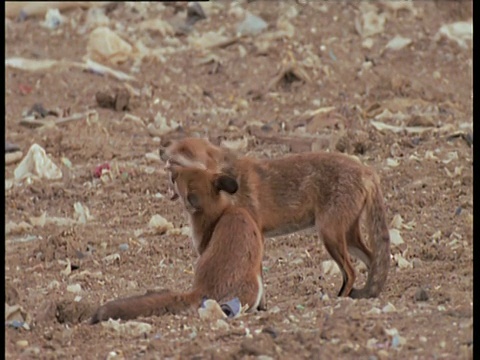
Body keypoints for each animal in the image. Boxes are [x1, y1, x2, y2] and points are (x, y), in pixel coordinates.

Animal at [159, 137, 392, 298]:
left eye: (184, 150)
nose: (161, 149)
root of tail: (366, 170)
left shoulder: (254, 232)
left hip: (330, 234)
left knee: (351, 272)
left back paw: (340, 299)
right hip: (347, 236)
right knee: (373, 261)